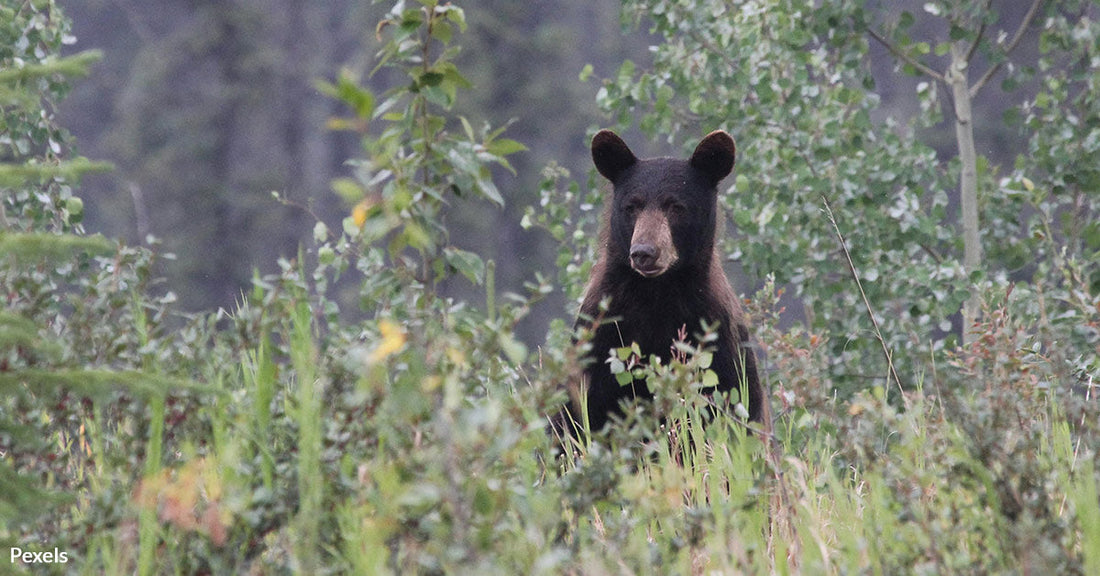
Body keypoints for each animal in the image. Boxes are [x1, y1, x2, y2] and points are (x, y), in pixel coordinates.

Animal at [556, 129, 770, 438]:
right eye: (631, 206)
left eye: (676, 206)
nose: (644, 252)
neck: (657, 294)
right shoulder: (600, 335)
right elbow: (577, 416)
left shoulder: (717, 338)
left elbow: (735, 406)